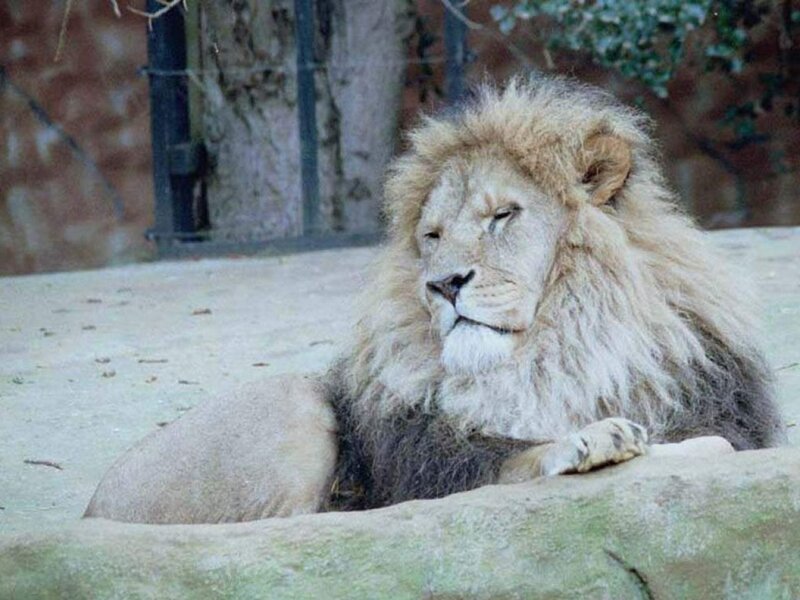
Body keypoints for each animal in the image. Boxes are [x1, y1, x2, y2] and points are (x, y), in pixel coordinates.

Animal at [85, 75, 785, 523]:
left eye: (503, 215)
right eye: (433, 235)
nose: (444, 284)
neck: (560, 350)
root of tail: (91, 512)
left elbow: (715, 445)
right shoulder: (433, 469)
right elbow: (515, 460)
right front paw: (590, 441)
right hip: (290, 406)